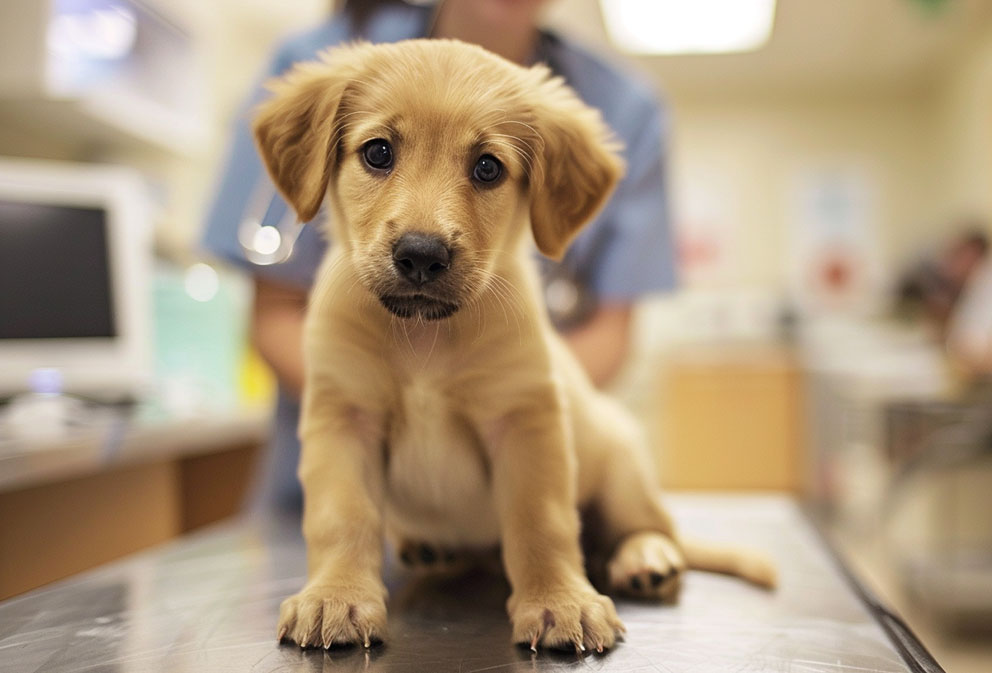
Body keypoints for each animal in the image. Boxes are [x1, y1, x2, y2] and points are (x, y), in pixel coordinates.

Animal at [250, 39, 776, 652]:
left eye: (487, 167)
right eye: (378, 152)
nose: (421, 255)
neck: (425, 340)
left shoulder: (525, 419)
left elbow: (541, 522)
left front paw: (560, 603)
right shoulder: (344, 418)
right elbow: (342, 516)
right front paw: (336, 597)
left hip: (621, 462)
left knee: (648, 526)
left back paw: (644, 555)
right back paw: (427, 545)